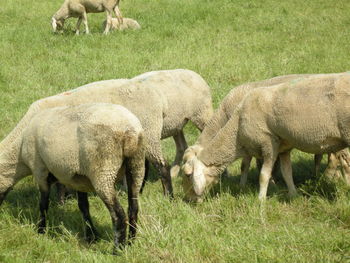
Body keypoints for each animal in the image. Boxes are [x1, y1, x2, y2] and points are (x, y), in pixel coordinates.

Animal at [0, 69, 213, 201]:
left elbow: (59, 186)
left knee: (162, 165)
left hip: (171, 124)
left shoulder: (53, 156)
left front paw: (61, 201)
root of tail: (156, 95)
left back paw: (168, 194)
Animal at [0, 103, 145, 252]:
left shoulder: (40, 169)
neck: (19, 155)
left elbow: (43, 203)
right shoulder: (80, 180)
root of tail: (130, 131)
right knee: (133, 208)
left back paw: (118, 250)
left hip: (104, 169)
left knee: (118, 214)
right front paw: (91, 236)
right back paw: (131, 243)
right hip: (137, 165)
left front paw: (40, 230)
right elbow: (83, 207)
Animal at [182, 72, 350, 202]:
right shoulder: (267, 147)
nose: (188, 200)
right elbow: (283, 171)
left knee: (340, 160)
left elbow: (256, 169)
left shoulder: (264, 144)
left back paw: (332, 180)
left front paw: (259, 196)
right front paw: (289, 193)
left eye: (188, 175)